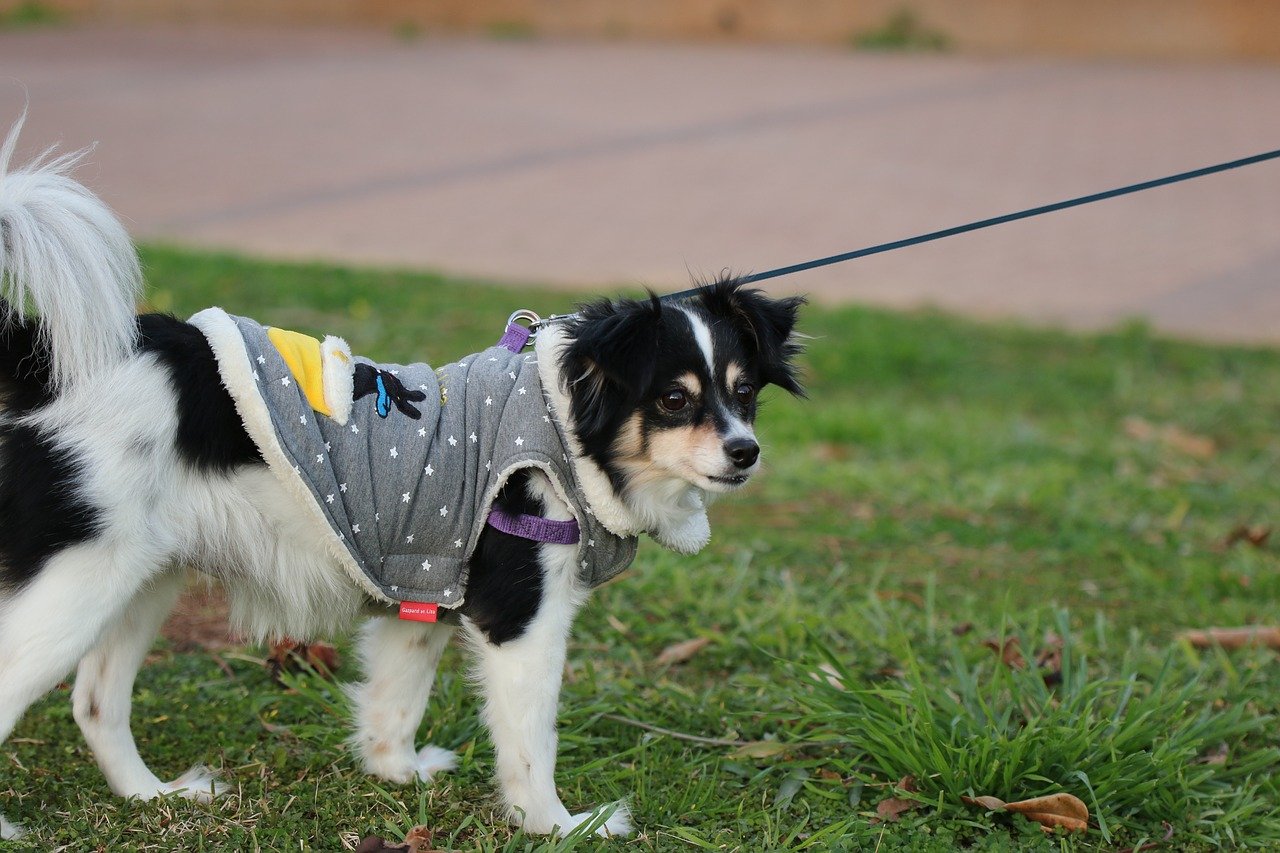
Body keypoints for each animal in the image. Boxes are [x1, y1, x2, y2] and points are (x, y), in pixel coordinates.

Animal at [0, 116, 798, 840]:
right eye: (674, 400)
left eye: (745, 392)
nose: (745, 451)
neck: (563, 425)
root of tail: (52, 365)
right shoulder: (521, 619)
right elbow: (531, 742)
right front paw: (559, 824)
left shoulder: (426, 586)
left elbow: (395, 698)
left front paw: (397, 772)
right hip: (77, 584)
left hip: (141, 576)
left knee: (95, 702)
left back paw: (154, 795)